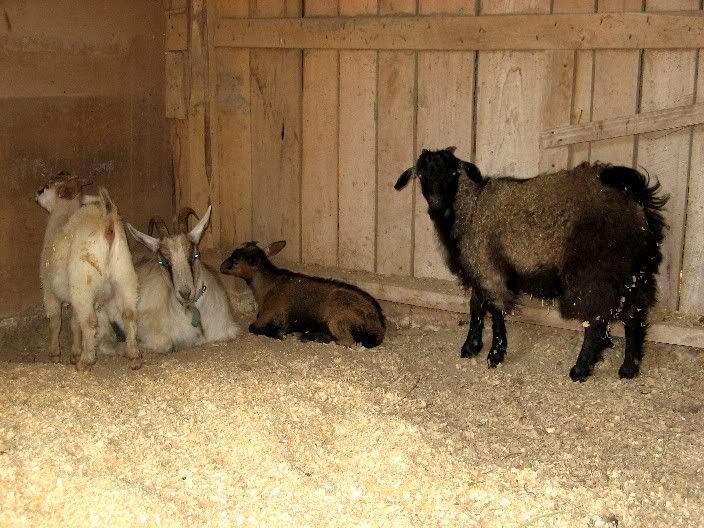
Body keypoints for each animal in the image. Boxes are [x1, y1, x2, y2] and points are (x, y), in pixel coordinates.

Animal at [36, 172, 142, 371]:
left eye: (47, 186)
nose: (36, 194)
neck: (61, 216)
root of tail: (107, 221)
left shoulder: (49, 290)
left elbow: (55, 321)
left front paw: (56, 354)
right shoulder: (72, 296)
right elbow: (74, 323)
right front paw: (75, 353)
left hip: (83, 282)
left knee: (90, 321)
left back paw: (86, 361)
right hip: (125, 275)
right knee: (129, 314)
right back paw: (134, 357)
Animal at [220, 241, 385, 347]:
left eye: (236, 259)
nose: (221, 266)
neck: (267, 285)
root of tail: (379, 326)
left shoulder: (269, 315)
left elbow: (252, 327)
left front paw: (278, 333)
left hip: (337, 319)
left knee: (346, 341)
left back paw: (312, 337)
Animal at [395, 147, 668, 381]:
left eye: (452, 172)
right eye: (421, 174)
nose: (436, 204)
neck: (471, 207)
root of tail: (637, 202)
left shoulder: (489, 268)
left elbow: (494, 310)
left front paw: (495, 354)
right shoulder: (478, 267)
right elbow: (475, 307)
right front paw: (471, 346)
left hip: (594, 271)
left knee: (596, 320)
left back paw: (581, 368)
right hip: (632, 274)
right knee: (634, 314)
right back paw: (629, 368)